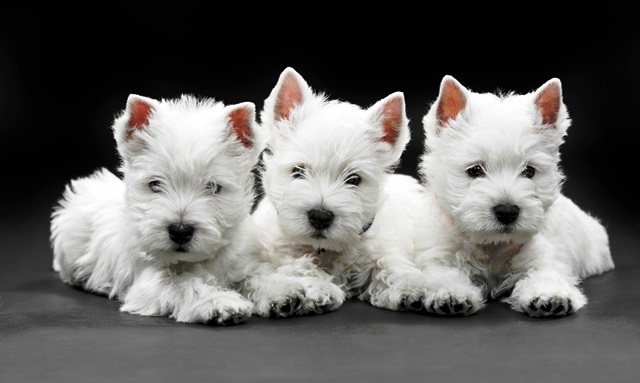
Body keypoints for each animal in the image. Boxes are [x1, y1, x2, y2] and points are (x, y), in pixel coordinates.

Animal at [49, 93, 264, 324]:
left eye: (213, 187)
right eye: (155, 184)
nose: (180, 231)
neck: (193, 260)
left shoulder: (241, 261)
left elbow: (255, 275)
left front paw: (276, 293)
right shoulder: (151, 281)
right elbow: (187, 284)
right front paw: (220, 303)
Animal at [242, 67, 432, 318]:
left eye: (354, 179)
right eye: (298, 171)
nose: (320, 216)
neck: (326, 249)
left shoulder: (382, 246)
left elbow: (391, 264)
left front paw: (413, 285)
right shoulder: (277, 252)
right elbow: (298, 265)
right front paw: (318, 290)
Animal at [416, 76, 616, 318]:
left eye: (529, 171)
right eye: (475, 170)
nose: (507, 211)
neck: (492, 246)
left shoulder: (545, 257)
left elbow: (546, 272)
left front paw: (550, 296)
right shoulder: (439, 255)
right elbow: (442, 273)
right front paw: (451, 294)